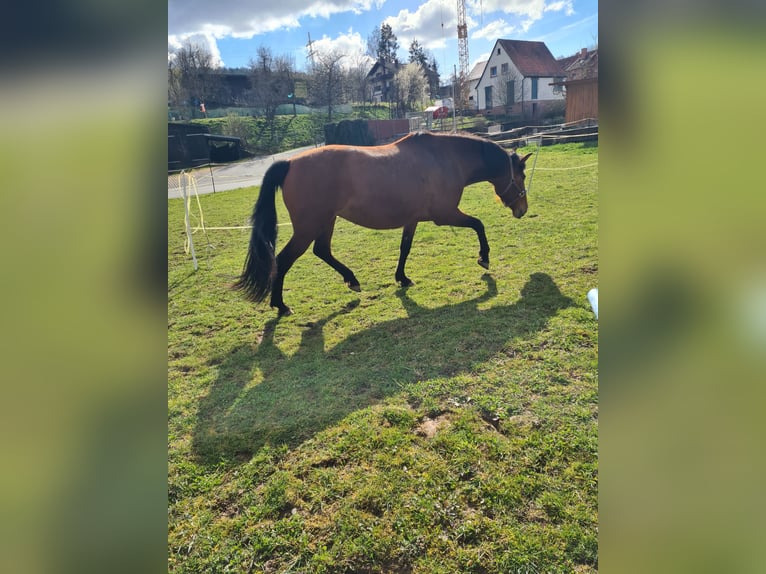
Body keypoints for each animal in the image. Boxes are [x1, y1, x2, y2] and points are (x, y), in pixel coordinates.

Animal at [233, 131, 533, 316]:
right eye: (521, 176)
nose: (523, 209)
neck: (444, 158)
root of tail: (289, 163)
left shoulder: (413, 219)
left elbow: (405, 248)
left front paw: (402, 278)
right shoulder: (444, 214)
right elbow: (479, 225)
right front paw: (484, 258)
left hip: (326, 221)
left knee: (322, 251)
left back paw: (352, 281)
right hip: (308, 228)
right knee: (283, 260)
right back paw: (280, 305)